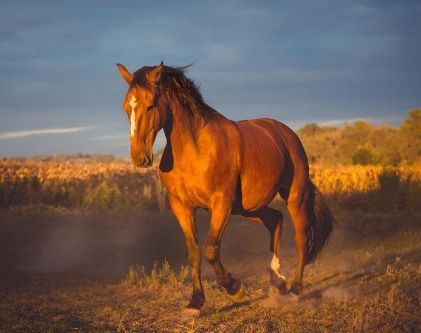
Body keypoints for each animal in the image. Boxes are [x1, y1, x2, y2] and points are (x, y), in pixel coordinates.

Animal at [116, 61, 334, 316]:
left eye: (150, 105)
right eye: (126, 107)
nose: (139, 158)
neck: (195, 149)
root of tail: (287, 134)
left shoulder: (221, 203)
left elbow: (211, 249)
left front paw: (235, 288)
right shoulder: (182, 207)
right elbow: (194, 253)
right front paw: (195, 303)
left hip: (294, 198)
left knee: (302, 238)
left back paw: (294, 290)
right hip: (248, 208)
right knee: (275, 220)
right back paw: (277, 280)